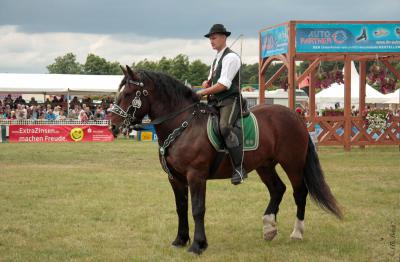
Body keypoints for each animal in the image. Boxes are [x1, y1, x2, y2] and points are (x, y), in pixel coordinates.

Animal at [111, 65, 342, 254]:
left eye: (129, 93)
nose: (113, 126)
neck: (183, 124)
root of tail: (295, 115)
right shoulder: (175, 178)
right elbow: (181, 208)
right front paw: (180, 240)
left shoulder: (196, 176)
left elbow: (197, 209)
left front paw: (198, 245)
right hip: (265, 165)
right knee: (278, 189)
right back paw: (269, 227)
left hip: (292, 163)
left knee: (299, 192)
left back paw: (296, 232)